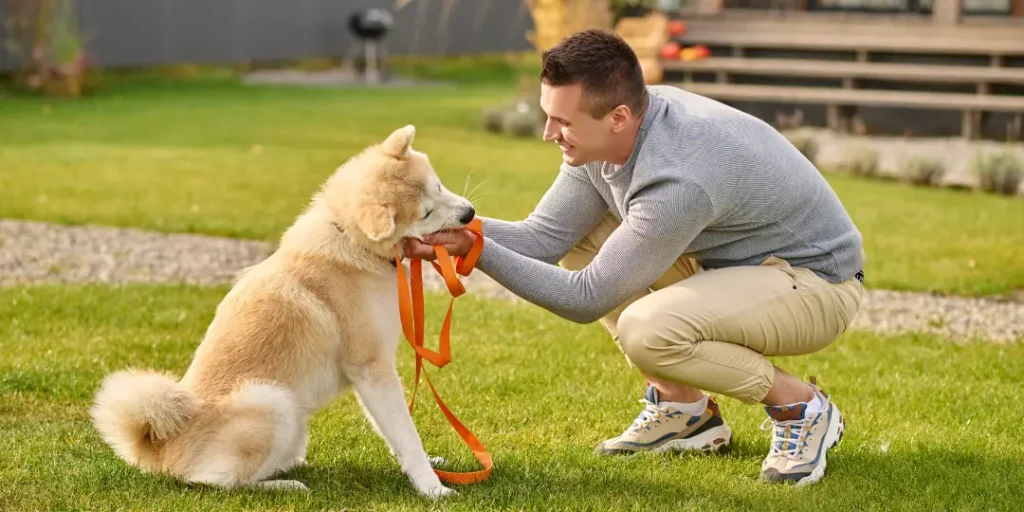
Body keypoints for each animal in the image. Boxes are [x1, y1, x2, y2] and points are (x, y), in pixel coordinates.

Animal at [88, 122, 475, 495]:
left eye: (439, 186)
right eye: (426, 214)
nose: (469, 213)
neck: (353, 243)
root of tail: (160, 446)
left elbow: (399, 432)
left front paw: (431, 466)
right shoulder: (370, 367)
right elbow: (405, 432)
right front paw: (432, 487)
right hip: (271, 401)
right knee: (215, 481)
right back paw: (283, 485)